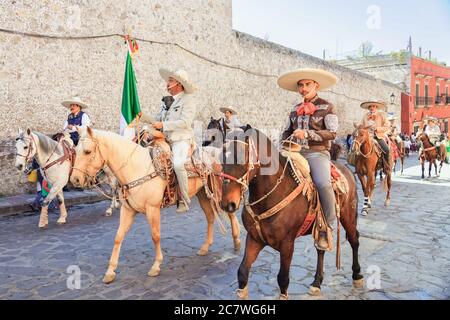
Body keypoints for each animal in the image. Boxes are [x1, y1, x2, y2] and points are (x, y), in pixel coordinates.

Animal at [70, 126, 241, 284]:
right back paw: (205, 248)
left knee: (230, 212)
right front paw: (110, 271)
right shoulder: (127, 210)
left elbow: (155, 235)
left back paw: (237, 242)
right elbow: (118, 237)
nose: (74, 179)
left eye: (87, 151)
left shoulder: (152, 209)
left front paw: (156, 266)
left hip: (218, 194)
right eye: (76, 150)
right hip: (203, 195)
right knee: (210, 217)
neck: (136, 168)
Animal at [220, 127, 364, 300]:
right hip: (320, 228)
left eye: (242, 156)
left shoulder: (287, 244)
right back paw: (317, 282)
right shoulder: (254, 239)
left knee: (354, 239)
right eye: (221, 156)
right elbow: (242, 273)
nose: (228, 203)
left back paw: (357, 275)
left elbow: (283, 279)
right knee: (320, 248)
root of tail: (344, 169)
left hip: (348, 215)